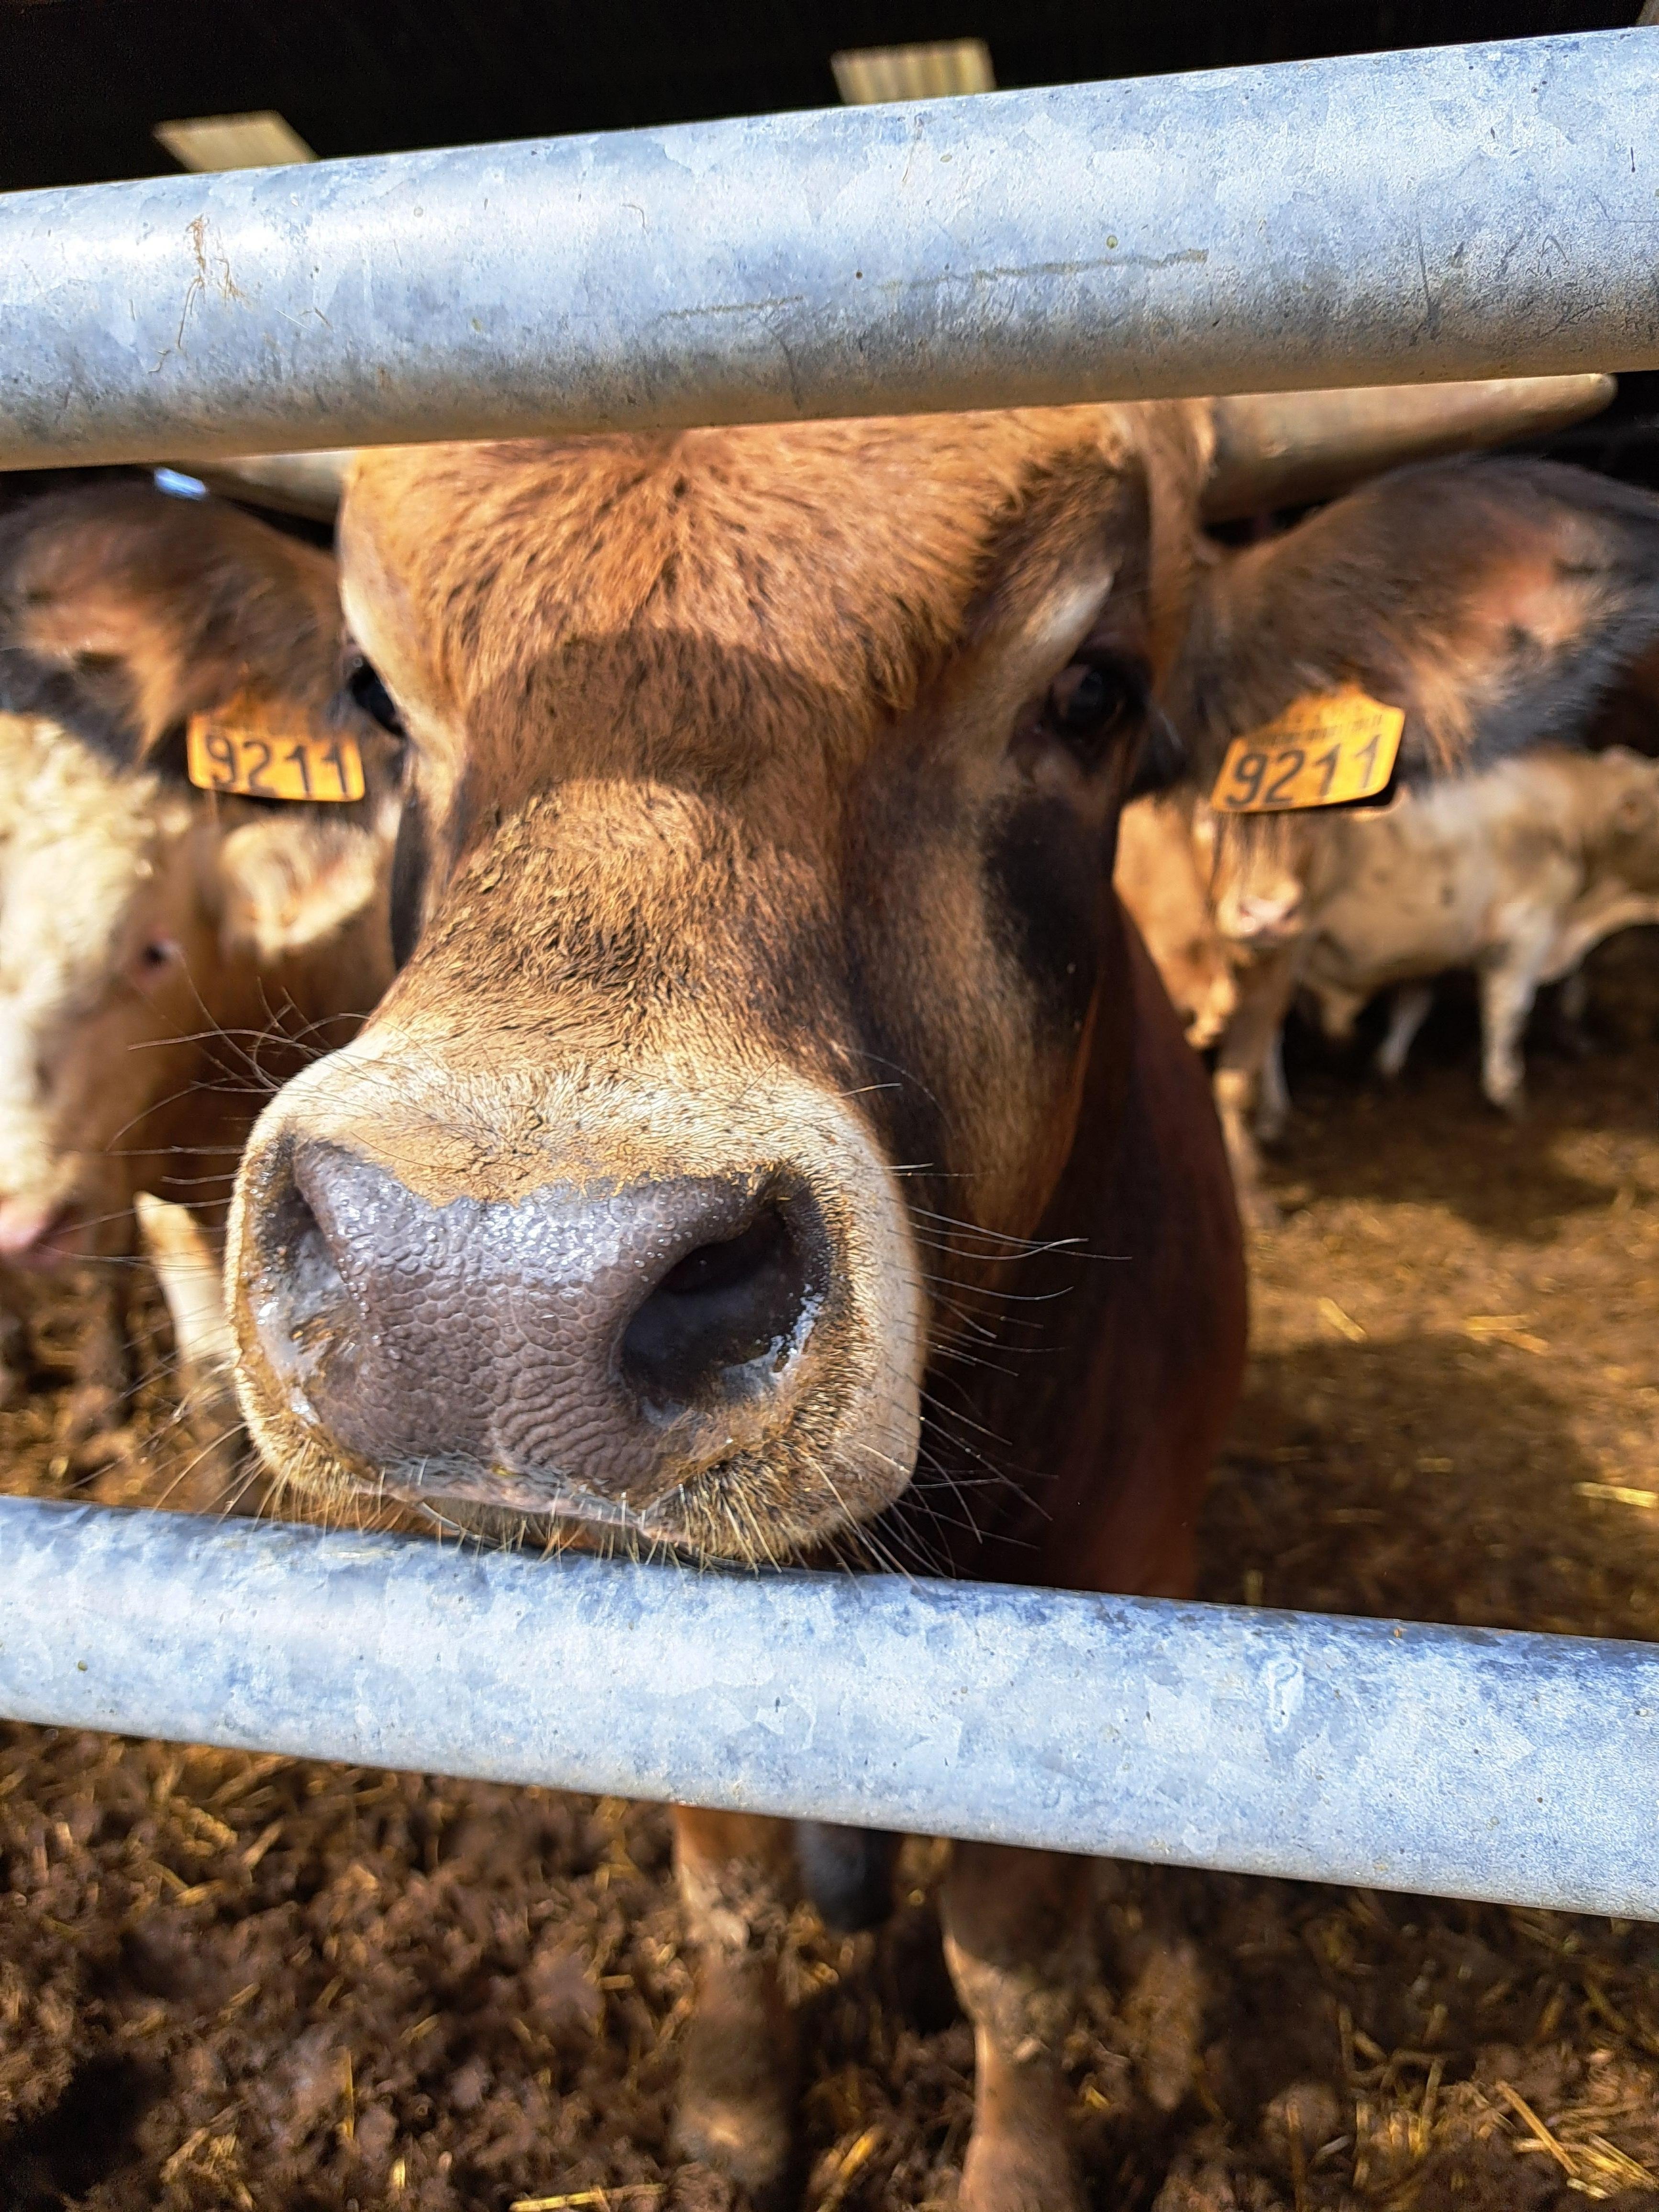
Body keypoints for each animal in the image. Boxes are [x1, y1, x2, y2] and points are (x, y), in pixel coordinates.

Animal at [222, 408, 1659, 2209]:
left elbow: (1013, 1954)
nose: (487, 1288)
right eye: (369, 684)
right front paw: (730, 2111)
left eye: (1095, 689)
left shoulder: (1107, 1598)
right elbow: (727, 1881)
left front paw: (1013, 2163)